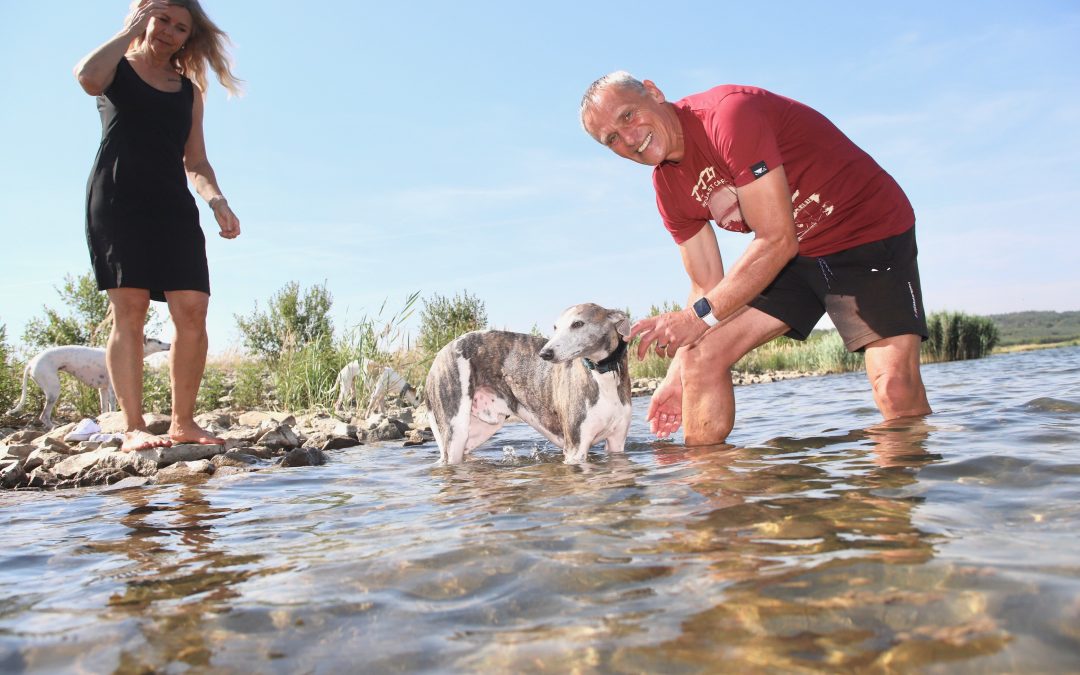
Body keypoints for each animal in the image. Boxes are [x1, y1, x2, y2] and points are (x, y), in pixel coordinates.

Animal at [5, 334, 170, 425]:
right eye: (159, 341)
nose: (169, 344)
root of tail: (31, 363)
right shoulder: (112, 389)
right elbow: (113, 407)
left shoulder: (103, 389)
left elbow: (104, 409)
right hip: (53, 390)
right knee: (44, 416)